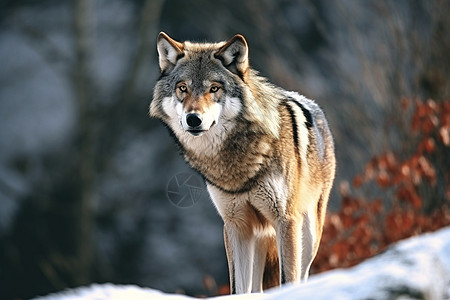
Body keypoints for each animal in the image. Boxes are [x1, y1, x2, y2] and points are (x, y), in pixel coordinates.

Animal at [149, 32, 336, 292]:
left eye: (214, 88)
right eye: (183, 88)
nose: (193, 119)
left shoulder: (286, 220)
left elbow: (288, 279)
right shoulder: (235, 225)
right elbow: (238, 287)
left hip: (307, 233)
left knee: (303, 273)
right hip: (259, 235)